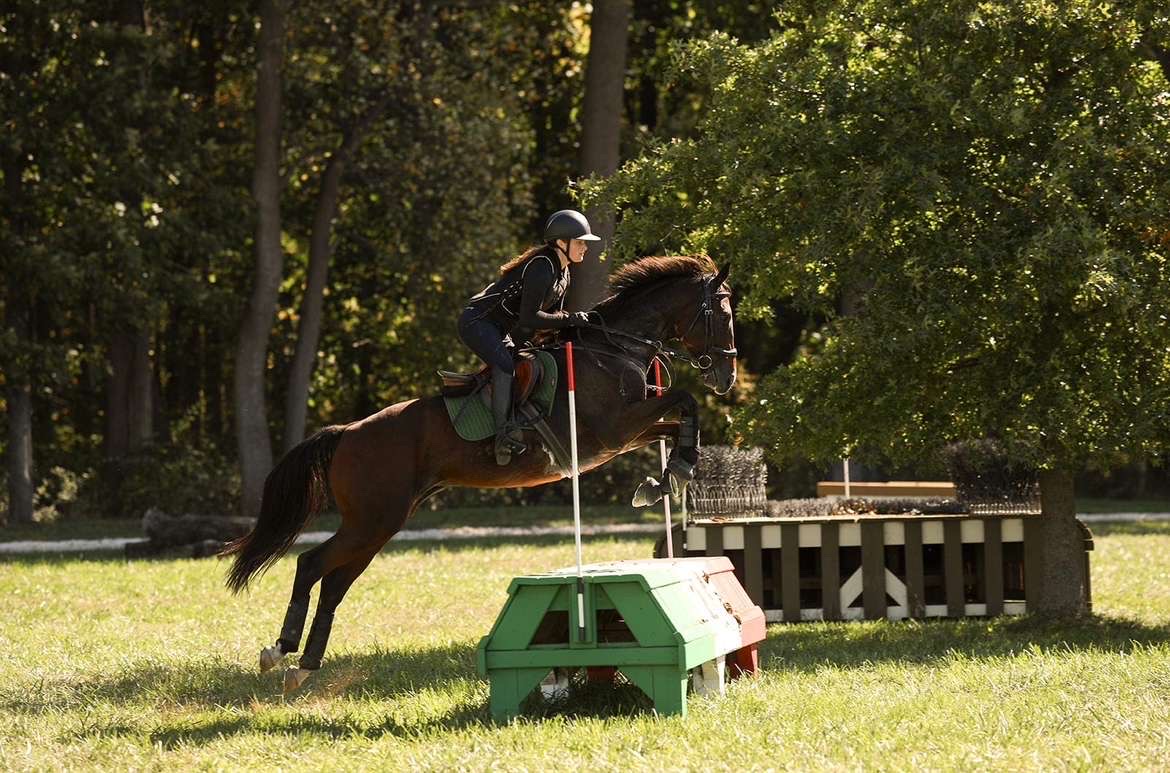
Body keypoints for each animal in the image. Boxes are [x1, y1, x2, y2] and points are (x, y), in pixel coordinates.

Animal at [219, 254, 734, 692]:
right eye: (723, 315)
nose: (726, 378)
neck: (615, 350)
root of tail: (347, 432)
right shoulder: (614, 429)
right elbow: (684, 399)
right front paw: (672, 473)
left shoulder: (629, 431)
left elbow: (680, 418)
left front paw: (668, 477)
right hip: (372, 520)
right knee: (311, 565)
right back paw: (280, 650)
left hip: (377, 526)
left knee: (333, 584)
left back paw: (304, 666)